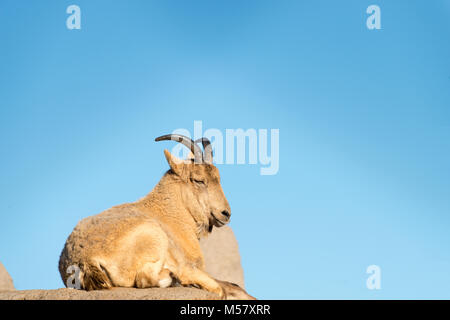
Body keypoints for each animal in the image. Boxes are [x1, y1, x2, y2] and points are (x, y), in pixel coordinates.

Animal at [59, 134, 255, 298]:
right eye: (198, 180)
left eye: (218, 178)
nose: (225, 213)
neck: (170, 213)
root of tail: (85, 259)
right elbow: (221, 287)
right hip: (154, 236)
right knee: (149, 277)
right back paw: (174, 279)